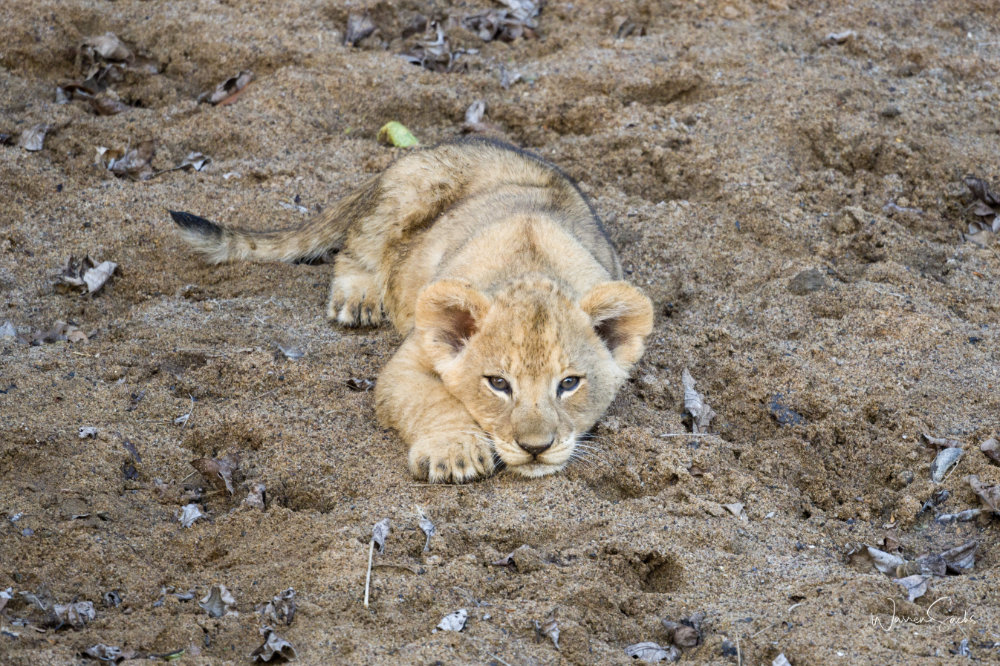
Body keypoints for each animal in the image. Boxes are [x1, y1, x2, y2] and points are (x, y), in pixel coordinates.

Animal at [170, 138, 653, 483]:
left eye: (569, 383)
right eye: (498, 383)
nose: (536, 447)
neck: (532, 266)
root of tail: (433, 146)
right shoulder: (408, 362)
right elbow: (434, 400)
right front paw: (454, 453)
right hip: (406, 196)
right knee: (355, 250)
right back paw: (359, 298)